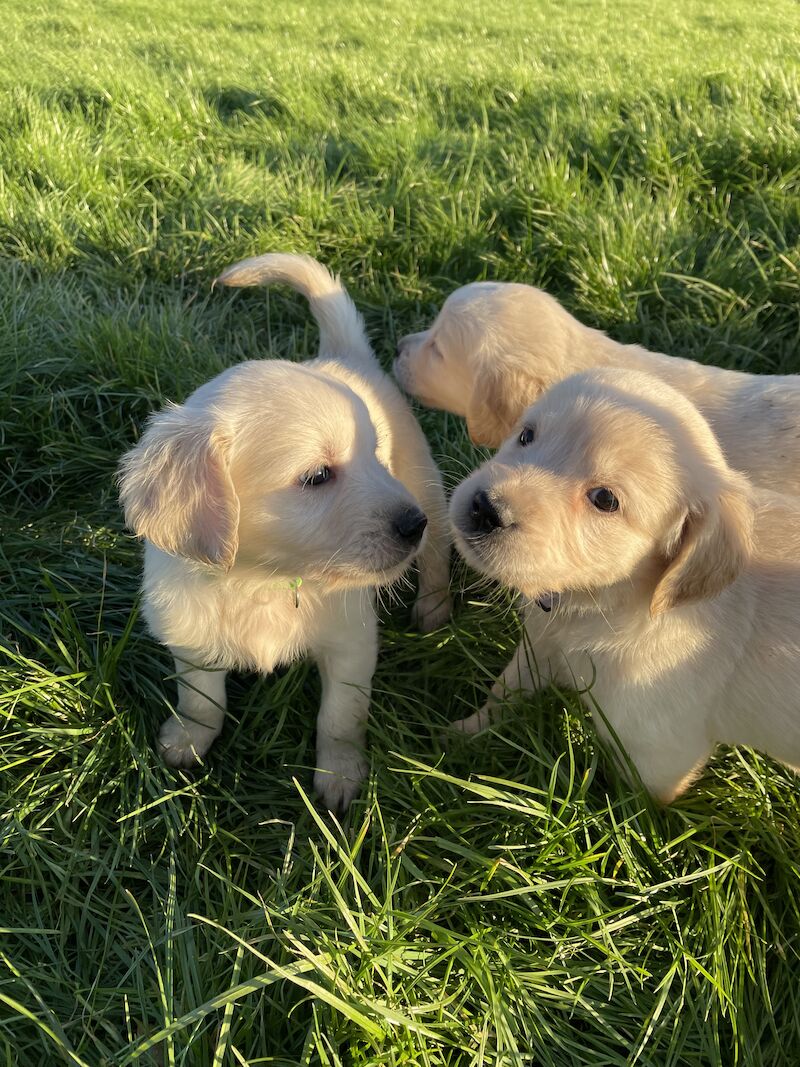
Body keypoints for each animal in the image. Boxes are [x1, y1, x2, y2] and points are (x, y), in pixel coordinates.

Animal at [123, 253, 454, 810]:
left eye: (375, 456)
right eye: (317, 476)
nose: (412, 526)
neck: (263, 579)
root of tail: (342, 355)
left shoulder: (350, 643)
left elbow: (339, 718)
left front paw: (339, 776)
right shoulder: (190, 636)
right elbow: (201, 699)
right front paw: (187, 741)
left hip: (423, 481)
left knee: (438, 555)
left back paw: (434, 606)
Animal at [448, 367, 800, 802]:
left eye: (604, 499)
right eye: (526, 435)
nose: (484, 509)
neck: (611, 603)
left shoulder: (658, 751)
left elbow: (638, 801)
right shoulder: (541, 647)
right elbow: (505, 689)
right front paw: (460, 736)